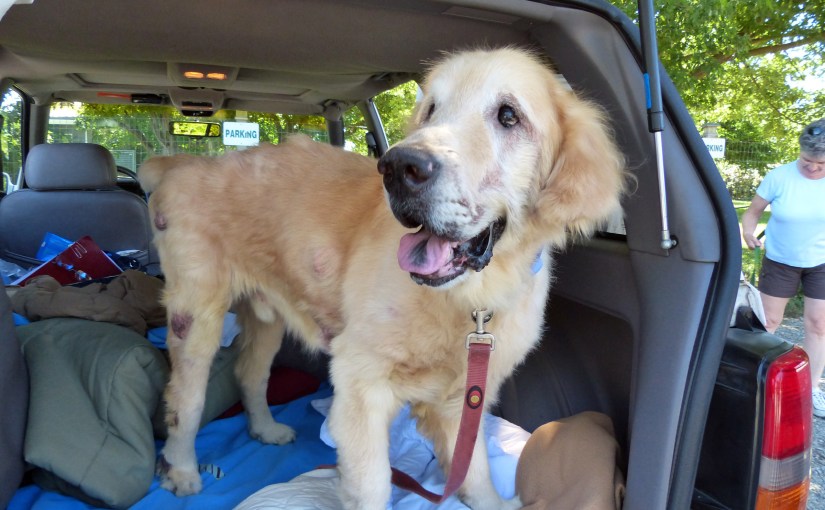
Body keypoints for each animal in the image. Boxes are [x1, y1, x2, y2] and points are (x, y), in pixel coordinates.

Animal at [138, 47, 626, 510]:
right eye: (431, 110)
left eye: (509, 116)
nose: (399, 167)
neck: (467, 299)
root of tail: (182, 164)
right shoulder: (360, 385)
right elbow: (373, 485)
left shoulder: (462, 397)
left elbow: (473, 467)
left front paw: (493, 503)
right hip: (196, 318)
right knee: (185, 400)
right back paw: (182, 470)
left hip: (266, 318)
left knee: (250, 374)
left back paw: (265, 429)